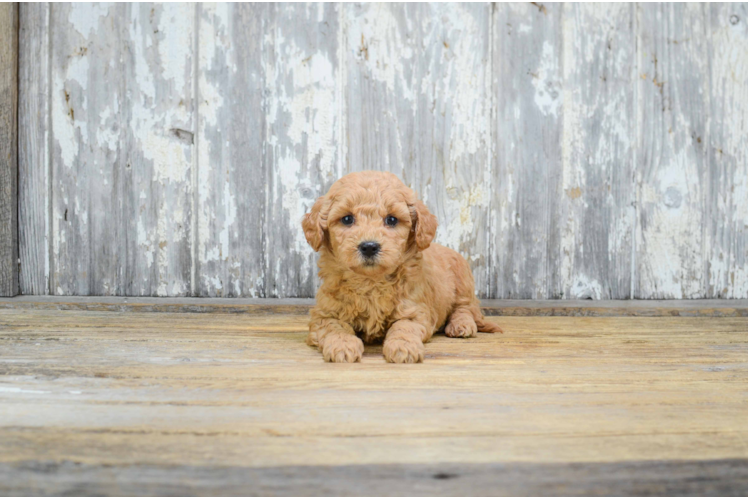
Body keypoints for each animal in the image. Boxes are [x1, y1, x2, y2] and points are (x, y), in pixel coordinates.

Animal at [300, 171, 502, 364]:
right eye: (347, 219)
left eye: (391, 220)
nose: (369, 246)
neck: (370, 282)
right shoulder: (325, 314)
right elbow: (335, 327)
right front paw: (342, 345)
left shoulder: (415, 310)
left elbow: (404, 327)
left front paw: (403, 348)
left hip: (462, 281)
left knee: (465, 308)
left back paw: (461, 325)